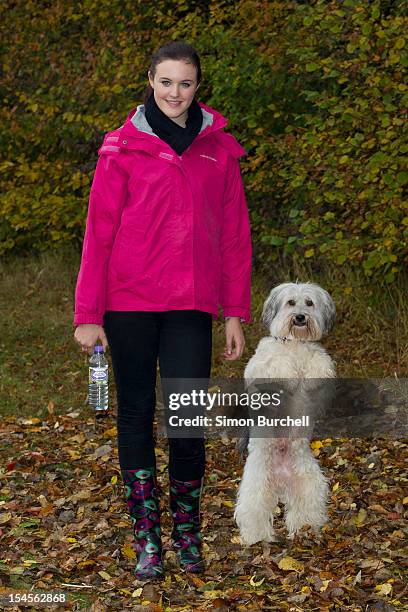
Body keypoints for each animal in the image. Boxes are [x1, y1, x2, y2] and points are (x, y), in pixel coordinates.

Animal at [234, 282, 336, 544]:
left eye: (309, 303)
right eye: (291, 303)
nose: (300, 317)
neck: (295, 344)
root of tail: (281, 478)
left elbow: (319, 363)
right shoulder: (261, 368)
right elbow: (276, 365)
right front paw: (287, 370)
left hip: (311, 483)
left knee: (304, 510)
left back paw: (306, 529)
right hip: (256, 486)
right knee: (253, 512)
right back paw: (255, 535)